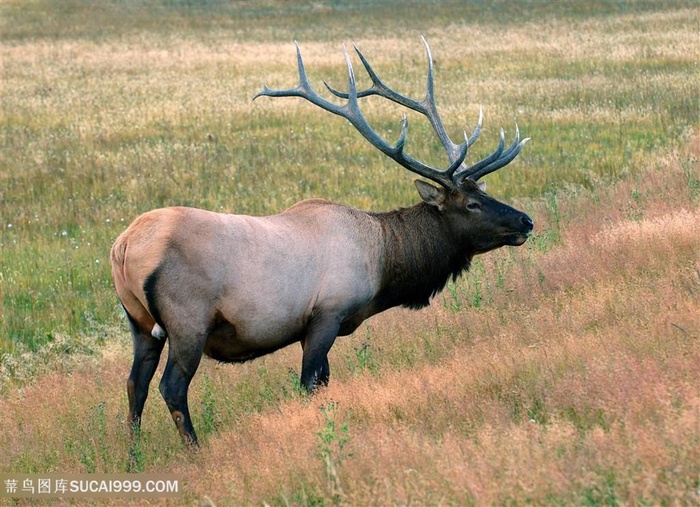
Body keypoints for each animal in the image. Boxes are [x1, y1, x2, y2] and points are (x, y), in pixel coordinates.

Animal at [112, 37, 532, 448]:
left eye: (485, 190)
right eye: (472, 203)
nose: (526, 220)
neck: (383, 258)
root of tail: (124, 247)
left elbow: (323, 382)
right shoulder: (327, 314)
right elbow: (310, 382)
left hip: (139, 323)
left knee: (135, 385)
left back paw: (133, 455)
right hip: (188, 321)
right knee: (171, 387)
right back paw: (195, 450)